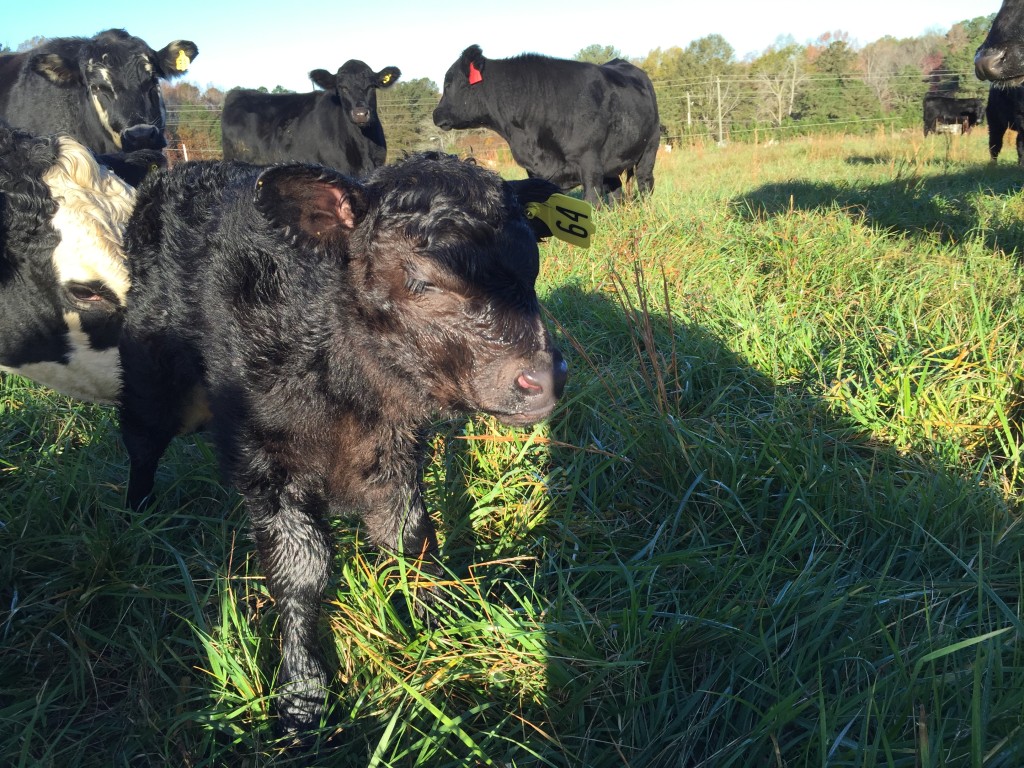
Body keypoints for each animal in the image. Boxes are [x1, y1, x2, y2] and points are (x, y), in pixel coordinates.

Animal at [117, 151, 573, 741]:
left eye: (532, 263)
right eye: (422, 282)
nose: (543, 377)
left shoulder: (393, 453)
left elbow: (410, 537)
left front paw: (441, 623)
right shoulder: (267, 463)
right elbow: (301, 571)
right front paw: (302, 695)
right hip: (150, 370)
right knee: (141, 439)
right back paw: (137, 516)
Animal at [430, 45, 659, 204]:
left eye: (448, 84)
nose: (435, 114)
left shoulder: (589, 161)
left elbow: (591, 202)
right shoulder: (534, 170)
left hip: (650, 147)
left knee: (645, 182)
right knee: (616, 190)